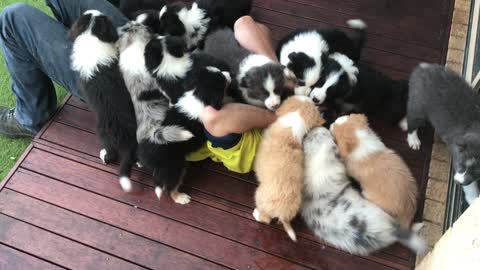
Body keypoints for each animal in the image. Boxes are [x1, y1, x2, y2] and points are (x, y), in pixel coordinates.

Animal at [139, 35, 231, 205]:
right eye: (222, 81)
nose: (229, 74)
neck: (199, 96)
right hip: (176, 166)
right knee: (170, 187)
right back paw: (181, 198)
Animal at [404, 63, 480, 205]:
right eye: (461, 165)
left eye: (476, 172)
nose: (458, 182)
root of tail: (423, 67)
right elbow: (471, 187)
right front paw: (473, 198)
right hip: (419, 105)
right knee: (413, 120)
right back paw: (413, 140)